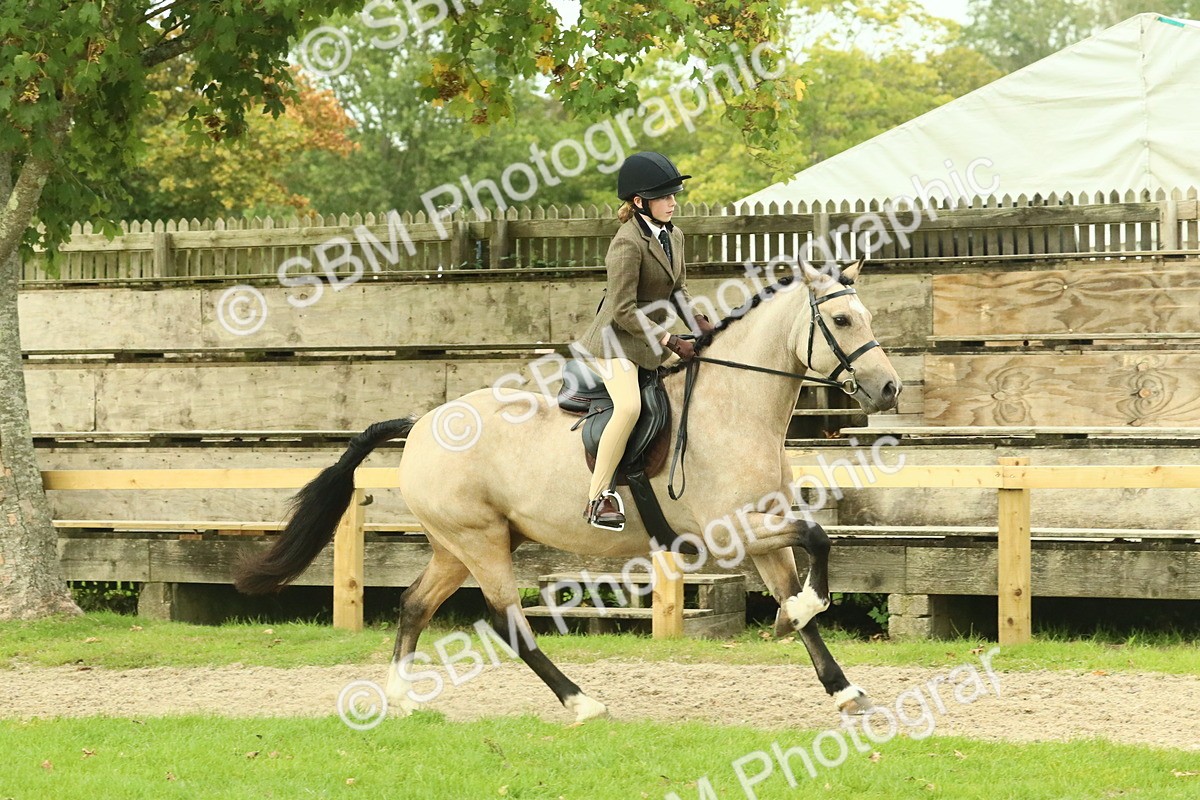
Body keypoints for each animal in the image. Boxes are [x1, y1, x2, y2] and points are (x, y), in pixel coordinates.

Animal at [234, 258, 902, 722]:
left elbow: (803, 574)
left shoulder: (763, 528)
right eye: (842, 320)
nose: (889, 389)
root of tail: (421, 423)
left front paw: (841, 683)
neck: (733, 408)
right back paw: (582, 703)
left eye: (868, 317)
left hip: (459, 545)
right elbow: (820, 539)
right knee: (508, 622)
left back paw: (401, 699)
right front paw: (802, 615)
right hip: (480, 542)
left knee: (414, 604)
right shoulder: (731, 531)